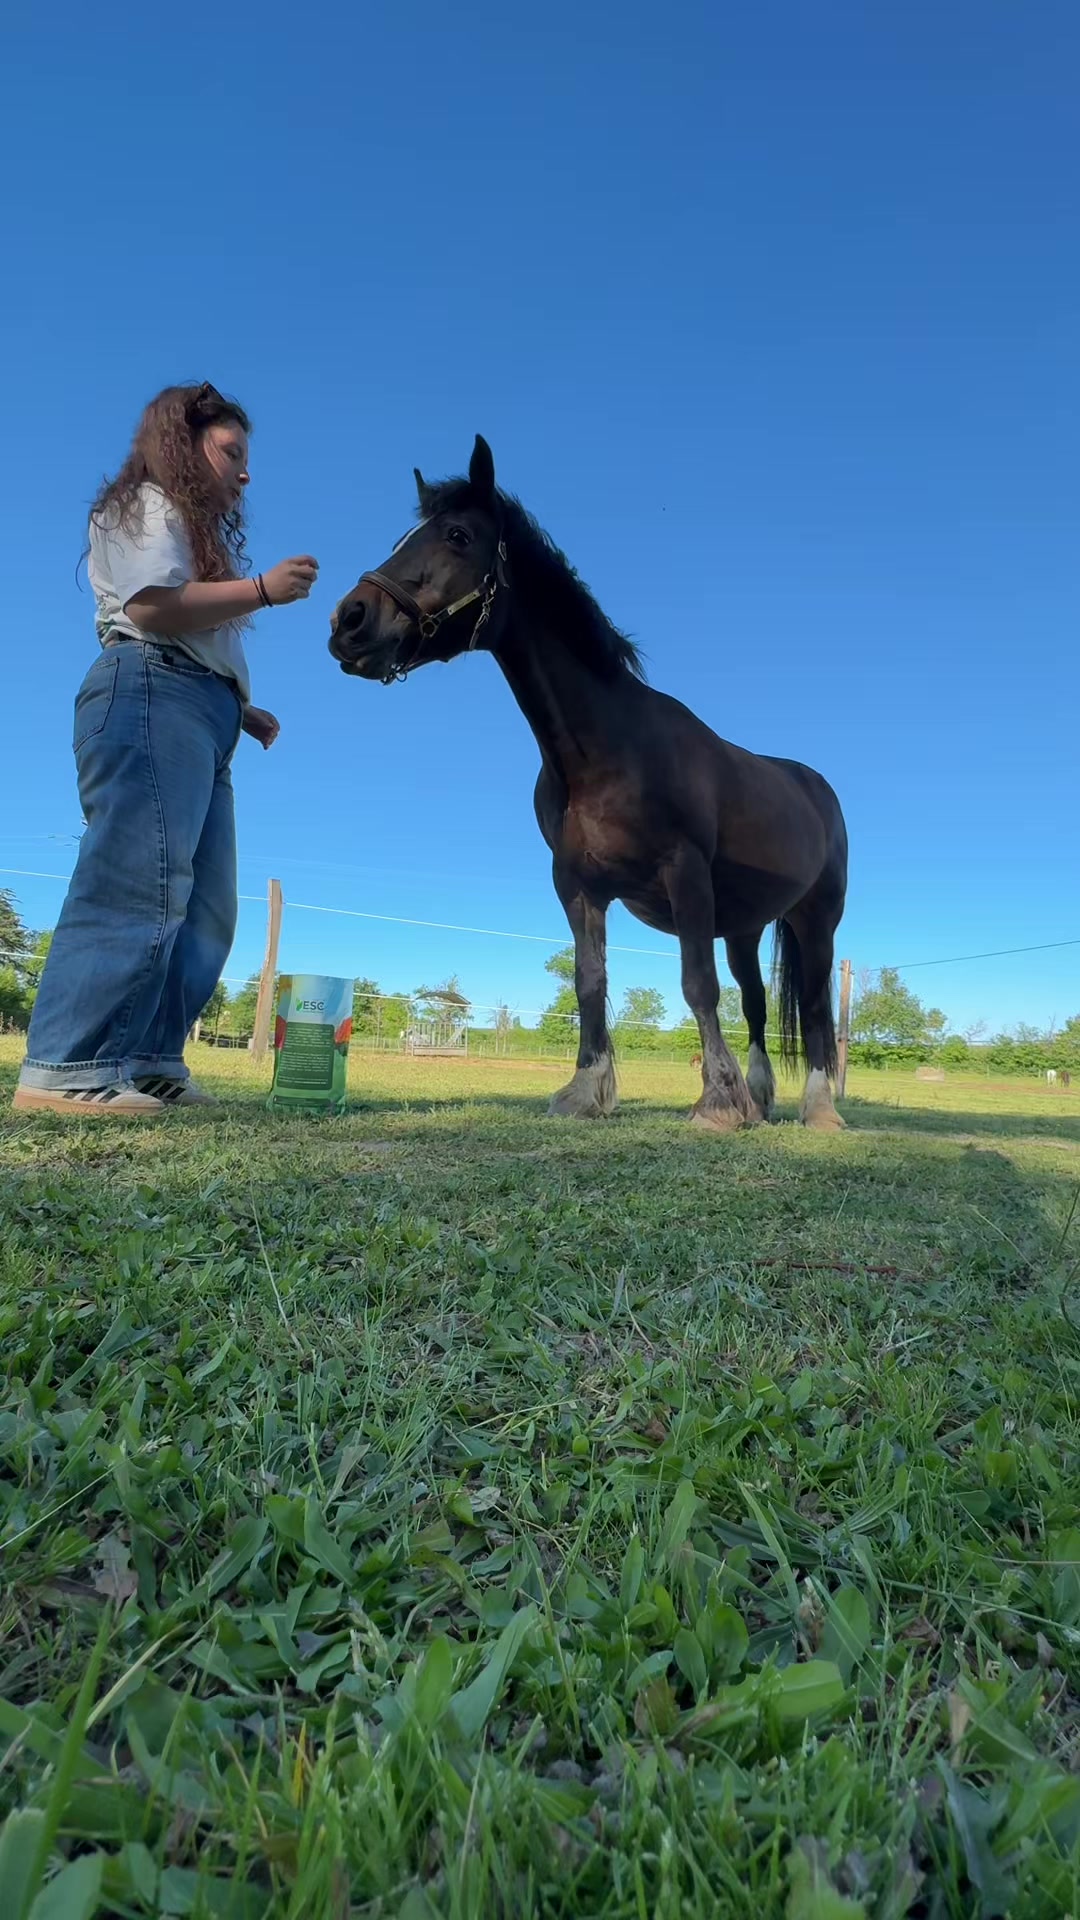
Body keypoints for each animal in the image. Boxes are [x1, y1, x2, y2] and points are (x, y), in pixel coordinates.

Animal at [329, 437, 848, 1133]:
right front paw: (585, 1090)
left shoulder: (684, 873)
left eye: (458, 536)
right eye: (402, 537)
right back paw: (760, 1098)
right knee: (758, 1003)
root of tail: (817, 788)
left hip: (816, 919)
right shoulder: (578, 888)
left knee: (813, 1007)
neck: (604, 754)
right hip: (743, 925)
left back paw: (818, 1108)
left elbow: (697, 985)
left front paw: (715, 1101)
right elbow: (590, 983)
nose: (350, 619)